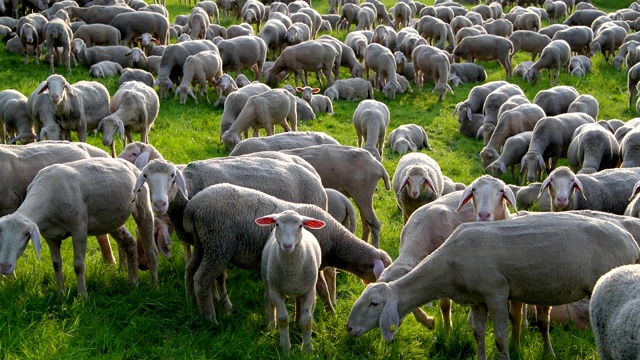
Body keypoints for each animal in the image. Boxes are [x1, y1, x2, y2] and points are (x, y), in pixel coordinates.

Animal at [0, 158, 156, 298]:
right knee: (129, 243)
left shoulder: (79, 229)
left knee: (151, 249)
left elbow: (79, 266)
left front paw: (82, 297)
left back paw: (154, 287)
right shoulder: (50, 236)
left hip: (142, 205)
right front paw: (61, 295)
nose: (4, 267)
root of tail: (126, 162)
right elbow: (56, 264)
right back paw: (133, 283)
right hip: (110, 219)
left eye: (26, 235)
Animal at [180, 184, 390, 322]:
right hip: (218, 244)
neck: (335, 239)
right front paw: (331, 312)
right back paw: (210, 318)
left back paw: (190, 303)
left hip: (203, 243)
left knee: (190, 270)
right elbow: (322, 289)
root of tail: (193, 207)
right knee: (202, 278)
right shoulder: (313, 263)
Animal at [256, 211, 324, 354]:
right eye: (277, 224)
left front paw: (307, 349)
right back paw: (271, 327)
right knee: (268, 301)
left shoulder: (309, 290)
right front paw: (285, 348)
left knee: (298, 303)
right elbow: (283, 319)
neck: (292, 273)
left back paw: (297, 324)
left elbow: (307, 321)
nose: (287, 246)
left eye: (300, 226)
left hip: (301, 287)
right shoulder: (276, 290)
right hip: (267, 280)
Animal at [350, 211, 640, 360]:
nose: (349, 328)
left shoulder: (496, 292)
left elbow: (500, 338)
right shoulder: (477, 298)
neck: (446, 269)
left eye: (374, 304)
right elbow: (478, 334)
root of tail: (630, 241)